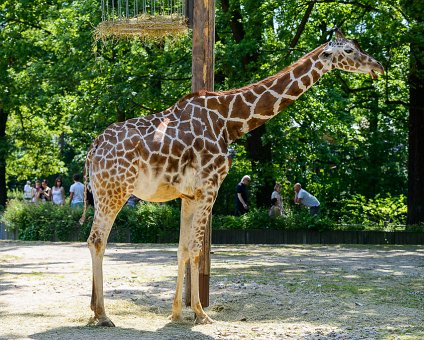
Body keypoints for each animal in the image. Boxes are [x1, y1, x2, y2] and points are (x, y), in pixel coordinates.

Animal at [83, 29, 384, 326]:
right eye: (348, 51)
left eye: (357, 45)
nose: (378, 66)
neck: (229, 122)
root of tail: (93, 148)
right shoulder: (210, 187)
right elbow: (196, 248)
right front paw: (201, 314)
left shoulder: (189, 195)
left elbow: (182, 249)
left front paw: (177, 313)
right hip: (115, 191)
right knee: (97, 240)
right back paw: (103, 314)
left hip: (102, 194)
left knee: (94, 240)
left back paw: (95, 310)